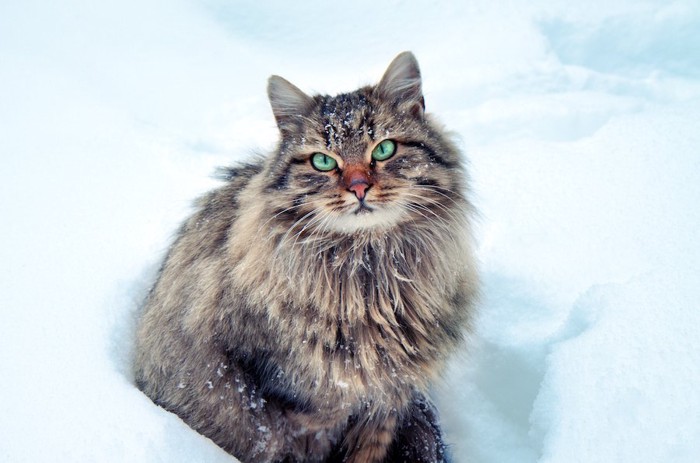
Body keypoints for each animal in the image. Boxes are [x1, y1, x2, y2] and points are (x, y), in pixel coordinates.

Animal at [134, 52, 478, 462]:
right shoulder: (294, 402)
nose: (359, 186)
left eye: (383, 150)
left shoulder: (388, 400)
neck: (367, 272)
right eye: (322, 161)